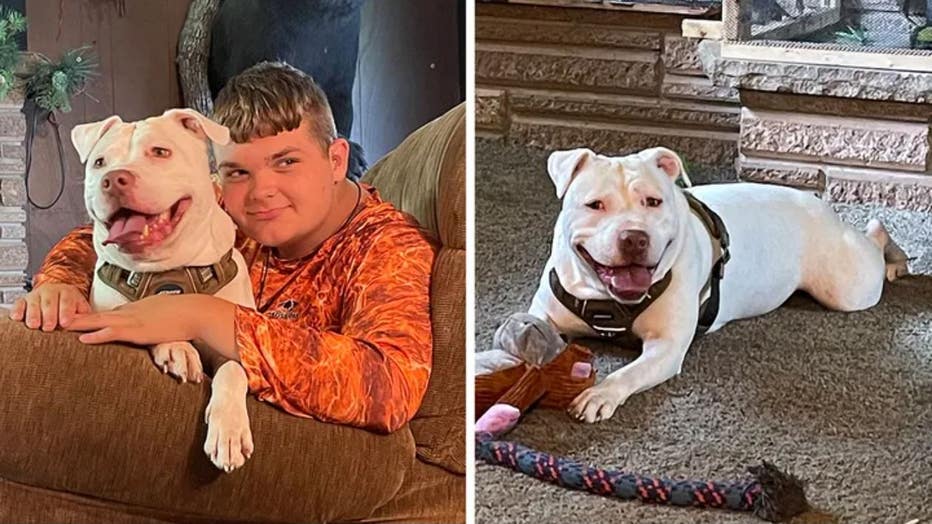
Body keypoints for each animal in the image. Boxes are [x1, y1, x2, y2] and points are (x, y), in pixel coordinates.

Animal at [71, 109, 256, 470]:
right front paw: (177, 348)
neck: (168, 271)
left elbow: (234, 370)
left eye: (160, 152)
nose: (113, 179)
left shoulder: (229, 345)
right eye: (99, 162)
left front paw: (229, 429)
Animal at [536, 145, 908, 424]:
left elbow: (628, 373)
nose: (634, 238)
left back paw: (896, 258)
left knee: (875, 237)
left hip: (849, 286)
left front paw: (600, 394)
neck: (608, 302)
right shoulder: (545, 315)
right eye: (595, 204)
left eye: (653, 201)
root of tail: (818, 204)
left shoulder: (666, 348)